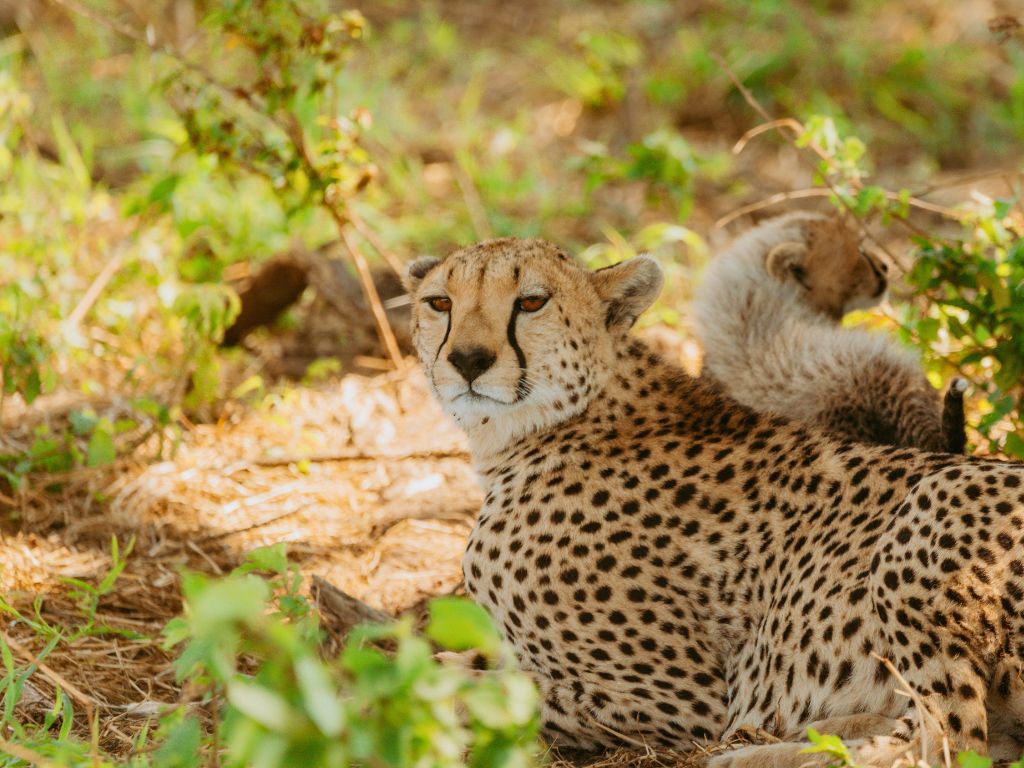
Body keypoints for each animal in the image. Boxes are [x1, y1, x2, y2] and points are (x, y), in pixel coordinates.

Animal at [405, 236, 1024, 768]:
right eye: (440, 303)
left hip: (935, 495)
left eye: (531, 302)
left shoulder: (683, 697)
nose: (468, 359)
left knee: (948, 742)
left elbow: (481, 694)